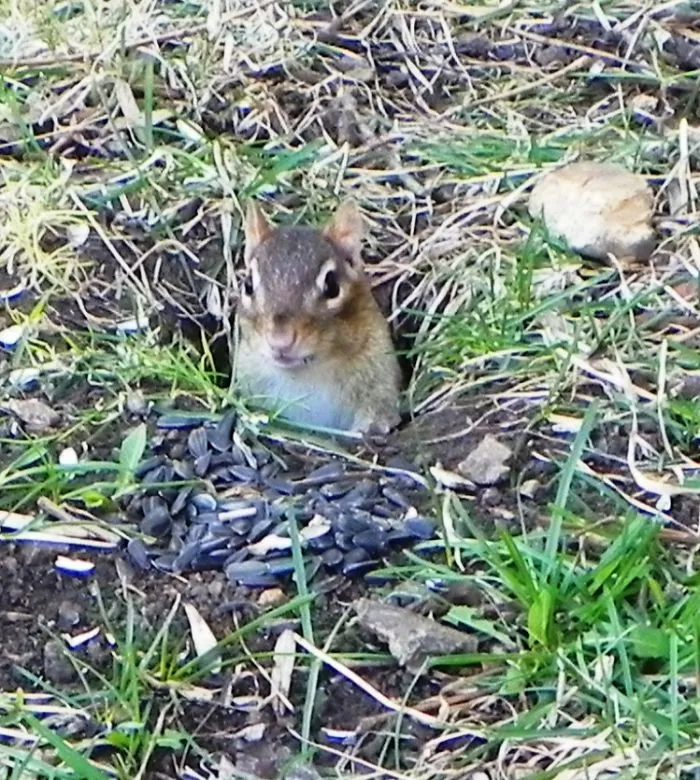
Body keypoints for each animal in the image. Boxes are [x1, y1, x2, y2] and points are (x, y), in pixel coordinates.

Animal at [234, 200, 402, 435]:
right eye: (248, 284)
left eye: (332, 286)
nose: (280, 340)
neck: (305, 375)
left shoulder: (379, 377)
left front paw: (371, 427)